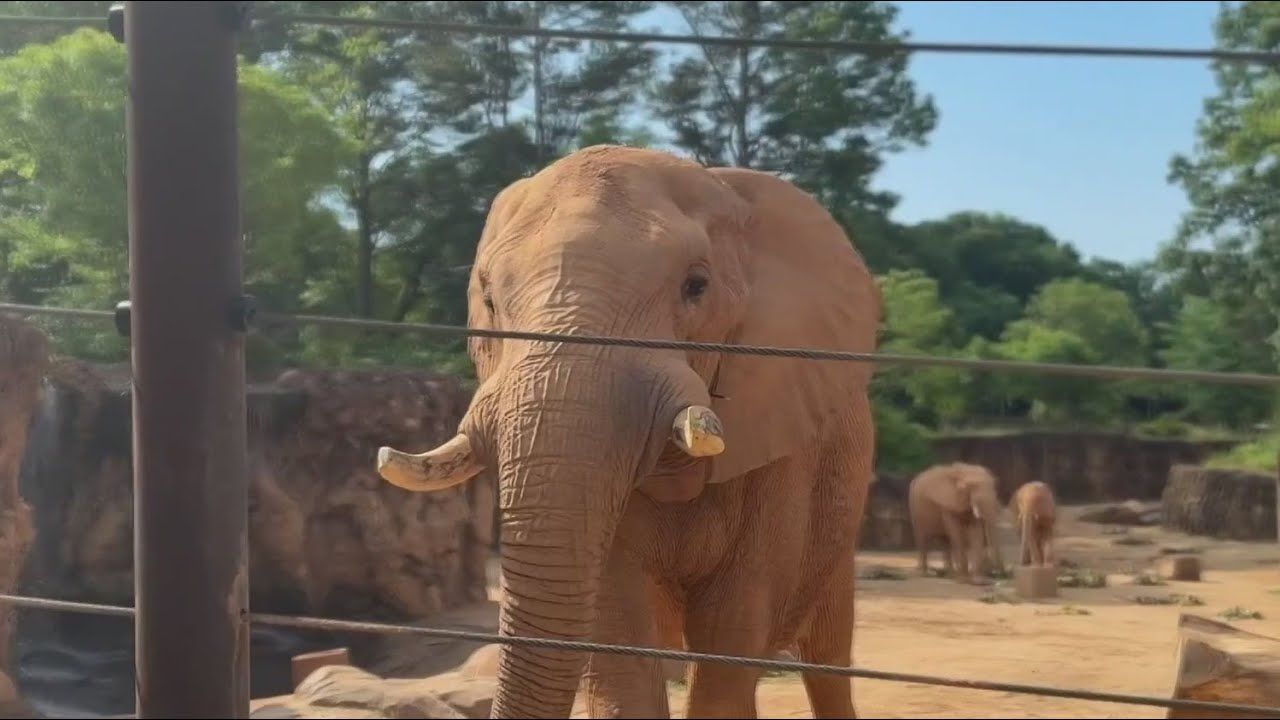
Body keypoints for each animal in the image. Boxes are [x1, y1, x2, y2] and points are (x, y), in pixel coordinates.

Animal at [375, 145, 880, 719]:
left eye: (696, 286)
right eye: (488, 299)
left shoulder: (781, 436)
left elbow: (736, 626)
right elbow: (616, 630)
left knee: (826, 656)